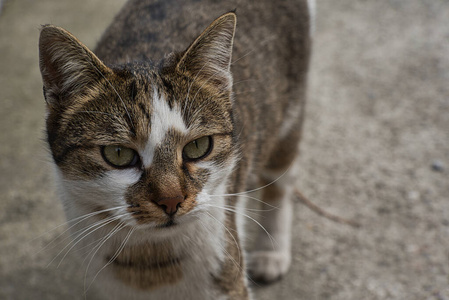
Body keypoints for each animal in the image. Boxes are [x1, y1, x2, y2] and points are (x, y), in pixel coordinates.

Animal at [38, 1, 312, 298]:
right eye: (118, 154)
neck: (150, 261)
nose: (171, 200)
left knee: (281, 180)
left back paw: (272, 250)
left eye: (198, 146)